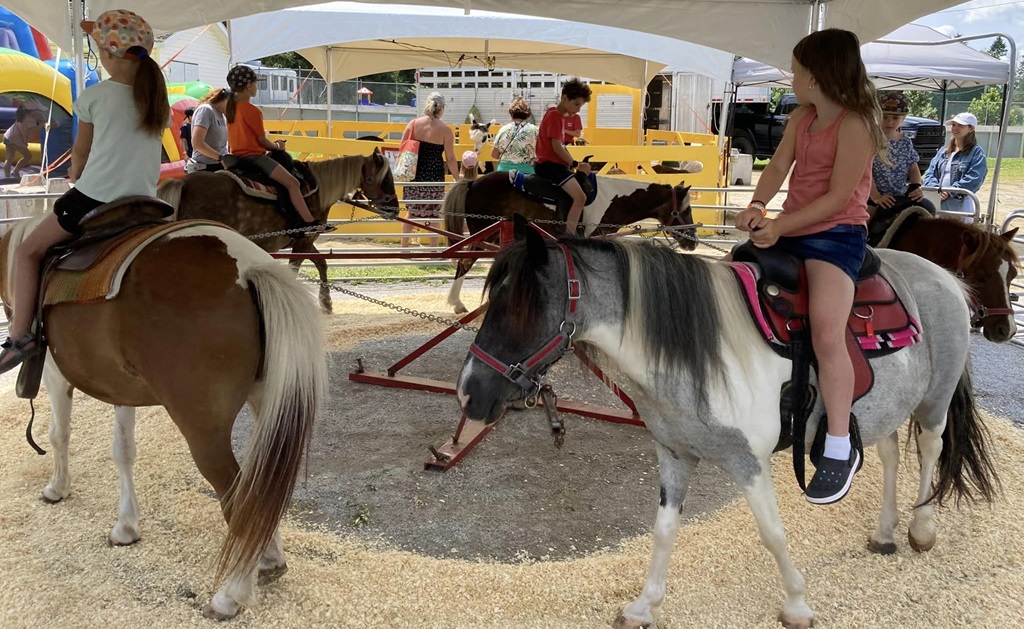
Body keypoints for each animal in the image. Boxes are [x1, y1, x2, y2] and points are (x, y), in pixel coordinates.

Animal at [0, 215, 327, 620]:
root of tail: (250, 267)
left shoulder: (55, 374)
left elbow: (59, 435)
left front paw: (57, 488)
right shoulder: (120, 387)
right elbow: (123, 451)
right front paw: (126, 527)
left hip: (203, 431)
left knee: (237, 495)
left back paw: (231, 595)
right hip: (268, 410)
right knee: (260, 487)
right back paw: (268, 560)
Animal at [157, 150, 397, 313]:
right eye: (385, 178)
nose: (394, 207)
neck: (316, 189)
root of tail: (183, 184)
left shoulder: (305, 241)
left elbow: (322, 263)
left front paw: (326, 303)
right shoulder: (303, 242)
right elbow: (295, 270)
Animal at [440, 172, 697, 313]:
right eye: (686, 210)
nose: (692, 241)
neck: (615, 198)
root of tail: (472, 183)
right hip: (483, 235)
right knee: (464, 263)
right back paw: (456, 303)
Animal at [456, 224, 999, 628]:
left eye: (522, 307)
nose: (467, 392)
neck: (699, 351)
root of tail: (945, 277)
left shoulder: (748, 461)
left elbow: (772, 533)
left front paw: (796, 605)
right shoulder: (674, 454)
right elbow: (663, 531)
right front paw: (644, 606)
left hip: (934, 399)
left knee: (930, 448)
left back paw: (922, 529)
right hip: (884, 408)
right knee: (888, 454)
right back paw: (885, 533)